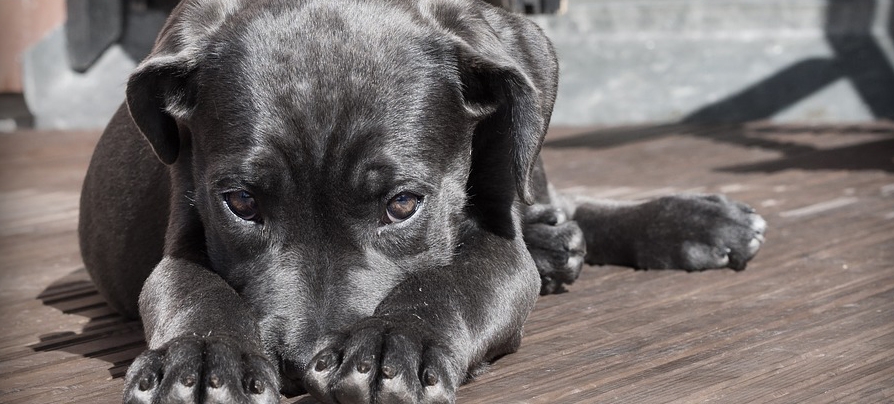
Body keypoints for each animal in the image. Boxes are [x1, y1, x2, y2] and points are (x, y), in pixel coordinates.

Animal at [77, 1, 768, 402]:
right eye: (241, 202)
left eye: (404, 205)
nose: (300, 365)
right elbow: (189, 286)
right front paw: (202, 358)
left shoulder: (497, 240)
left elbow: (457, 281)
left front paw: (392, 343)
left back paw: (692, 221)